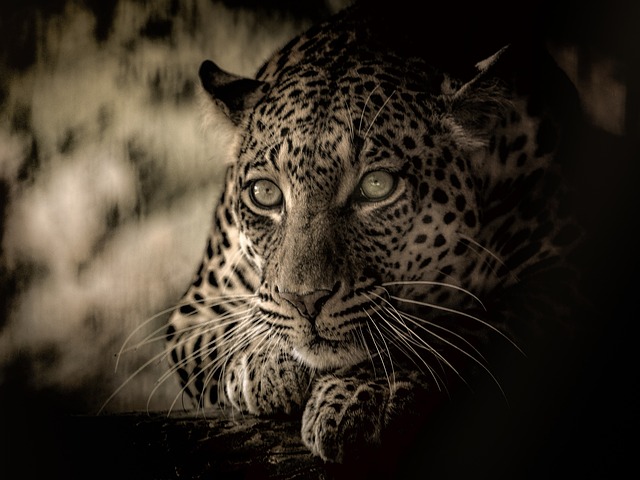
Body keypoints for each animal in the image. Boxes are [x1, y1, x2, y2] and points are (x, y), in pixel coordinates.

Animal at [165, 2, 586, 467]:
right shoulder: (197, 306)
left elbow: (460, 329)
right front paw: (266, 361)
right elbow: (227, 332)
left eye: (377, 186)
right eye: (265, 193)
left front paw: (362, 394)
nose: (305, 300)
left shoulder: (562, 271)